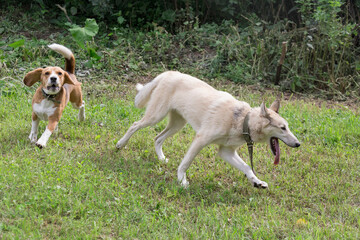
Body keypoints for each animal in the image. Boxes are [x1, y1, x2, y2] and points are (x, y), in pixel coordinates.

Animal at [116, 70, 300, 188]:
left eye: (287, 127)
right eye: (283, 128)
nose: (298, 144)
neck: (242, 120)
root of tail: (169, 73)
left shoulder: (226, 152)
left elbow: (247, 167)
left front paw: (256, 182)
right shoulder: (201, 140)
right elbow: (185, 163)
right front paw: (182, 181)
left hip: (177, 124)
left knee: (157, 138)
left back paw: (161, 158)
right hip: (155, 116)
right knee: (134, 125)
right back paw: (120, 144)